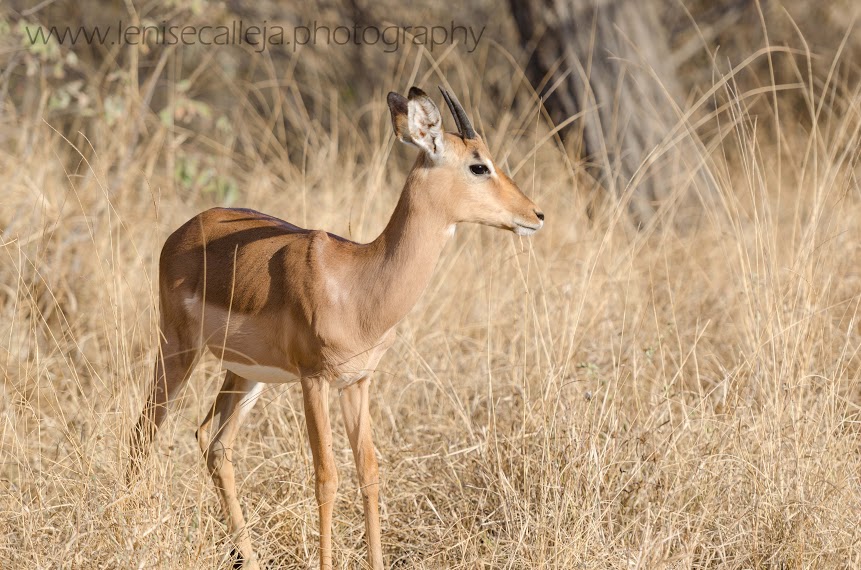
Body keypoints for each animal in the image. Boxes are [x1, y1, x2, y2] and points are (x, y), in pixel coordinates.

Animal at [127, 86, 544, 569]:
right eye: (479, 165)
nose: (536, 215)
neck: (358, 283)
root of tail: (181, 232)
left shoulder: (357, 382)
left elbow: (369, 471)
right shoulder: (314, 381)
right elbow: (327, 477)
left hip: (247, 375)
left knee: (214, 445)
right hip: (178, 352)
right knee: (143, 434)